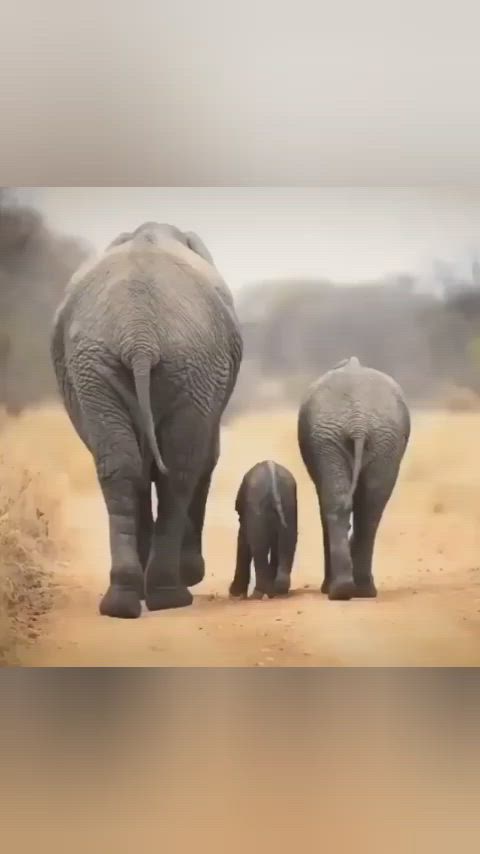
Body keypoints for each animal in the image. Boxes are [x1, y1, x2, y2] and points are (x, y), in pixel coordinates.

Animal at [51, 224, 244, 620]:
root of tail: (139, 337)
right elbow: (203, 458)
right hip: (174, 362)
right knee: (176, 469)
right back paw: (164, 595)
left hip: (111, 367)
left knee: (129, 467)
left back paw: (129, 600)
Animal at [229, 462, 296, 600]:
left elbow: (244, 542)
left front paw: (235, 594)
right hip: (289, 503)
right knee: (287, 541)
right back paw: (278, 590)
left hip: (258, 506)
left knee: (259, 547)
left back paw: (258, 595)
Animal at [298, 358, 410, 604]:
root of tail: (358, 423)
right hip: (352, 439)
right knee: (365, 507)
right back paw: (352, 590)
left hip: (371, 439)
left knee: (357, 507)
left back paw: (347, 590)